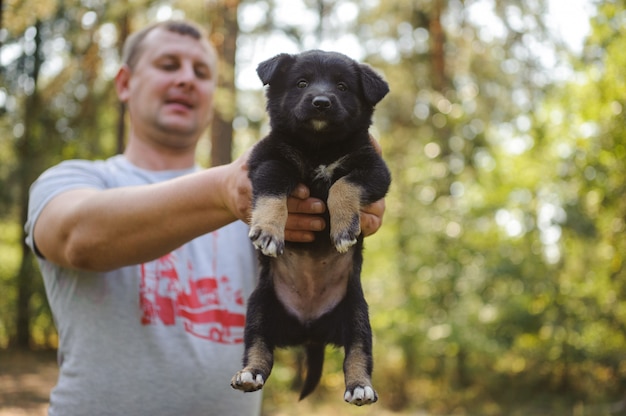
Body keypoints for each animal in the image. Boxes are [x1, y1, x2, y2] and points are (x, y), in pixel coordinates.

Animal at [230, 49, 390, 406]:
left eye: (342, 87)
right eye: (301, 83)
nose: (321, 102)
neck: (318, 147)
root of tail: (309, 330)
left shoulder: (374, 170)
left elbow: (343, 184)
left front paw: (344, 228)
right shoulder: (268, 160)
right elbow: (274, 189)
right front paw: (268, 231)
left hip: (356, 312)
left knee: (358, 351)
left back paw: (360, 387)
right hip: (260, 306)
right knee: (259, 346)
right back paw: (249, 374)